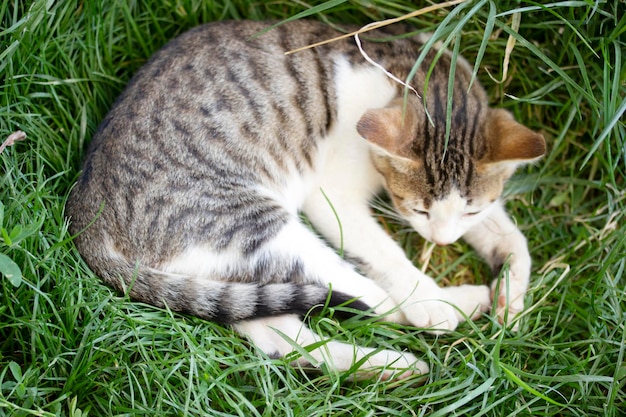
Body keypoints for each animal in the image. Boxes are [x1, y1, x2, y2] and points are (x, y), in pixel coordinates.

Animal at [68, 20, 544, 380]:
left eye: (472, 209)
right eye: (418, 208)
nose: (442, 243)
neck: (415, 67)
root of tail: (86, 216)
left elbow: (512, 237)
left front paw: (513, 295)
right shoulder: (331, 194)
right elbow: (387, 254)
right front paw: (438, 297)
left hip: (227, 272)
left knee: (279, 335)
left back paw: (391, 367)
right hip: (254, 224)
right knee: (368, 298)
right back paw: (451, 306)